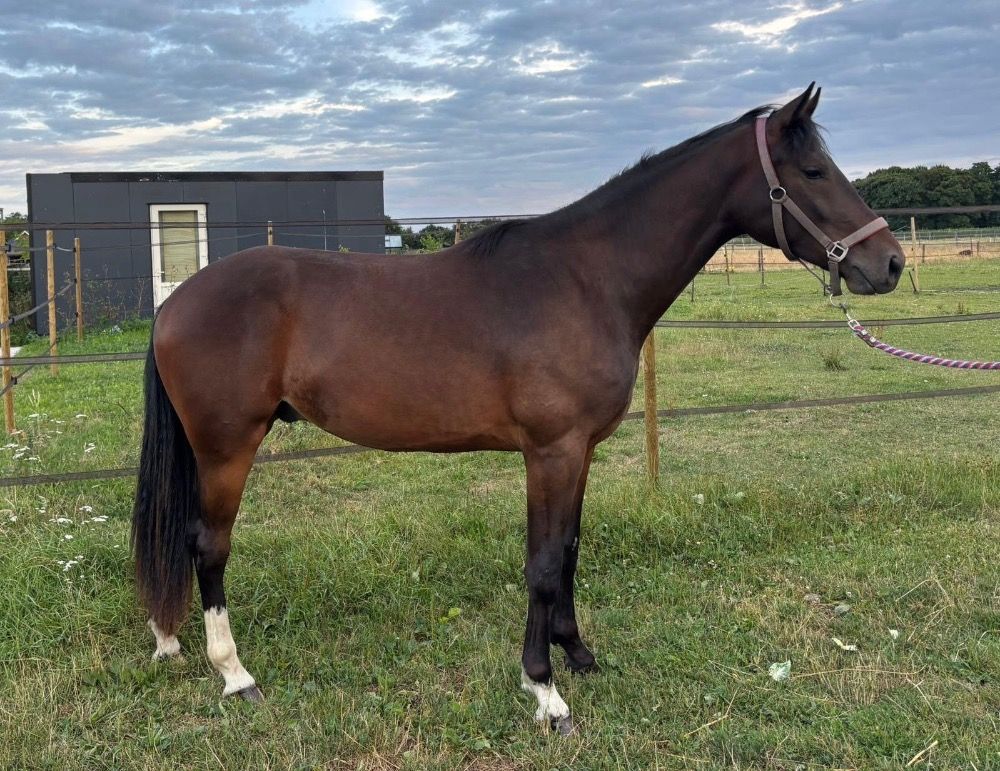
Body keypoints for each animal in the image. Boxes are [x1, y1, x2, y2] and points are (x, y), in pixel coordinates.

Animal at [132, 84, 903, 733]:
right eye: (813, 173)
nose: (890, 263)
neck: (586, 279)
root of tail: (178, 300)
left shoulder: (581, 449)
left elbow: (570, 551)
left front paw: (578, 655)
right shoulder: (550, 450)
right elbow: (541, 563)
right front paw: (544, 689)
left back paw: (171, 641)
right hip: (228, 446)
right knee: (208, 545)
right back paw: (235, 673)